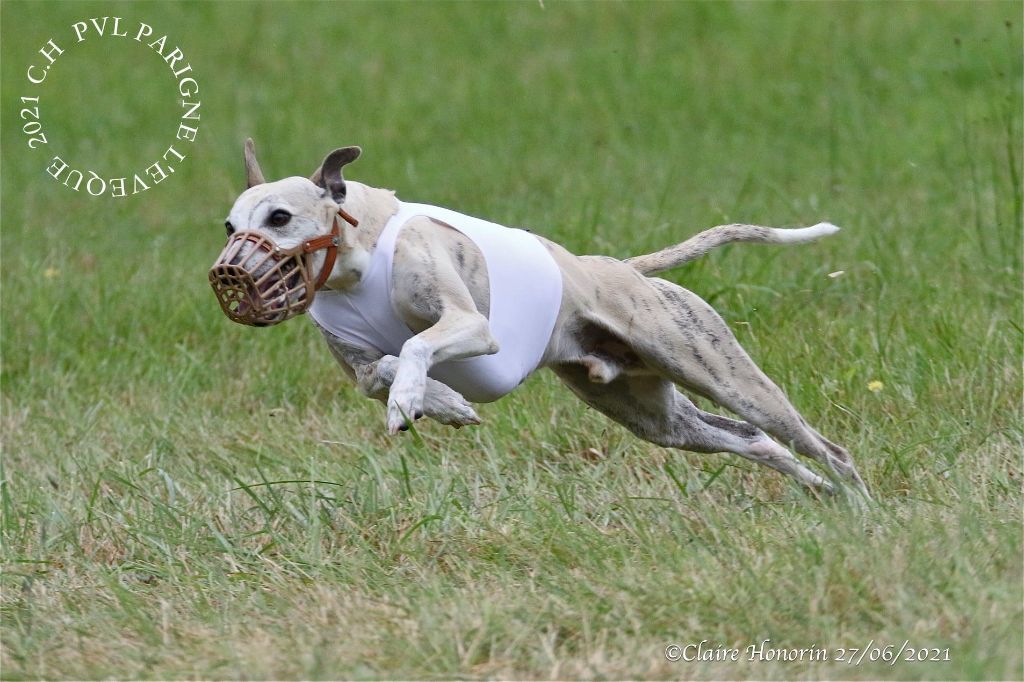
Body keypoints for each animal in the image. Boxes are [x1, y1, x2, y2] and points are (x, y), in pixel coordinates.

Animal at [211, 139, 868, 499]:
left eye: (279, 217)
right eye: (229, 224)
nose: (229, 273)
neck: (361, 254)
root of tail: (623, 270)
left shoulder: (473, 328)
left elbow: (418, 346)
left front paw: (414, 401)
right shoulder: (360, 366)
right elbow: (384, 369)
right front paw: (440, 403)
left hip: (716, 370)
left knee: (820, 444)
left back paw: (862, 505)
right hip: (653, 414)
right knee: (754, 441)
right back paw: (822, 495)